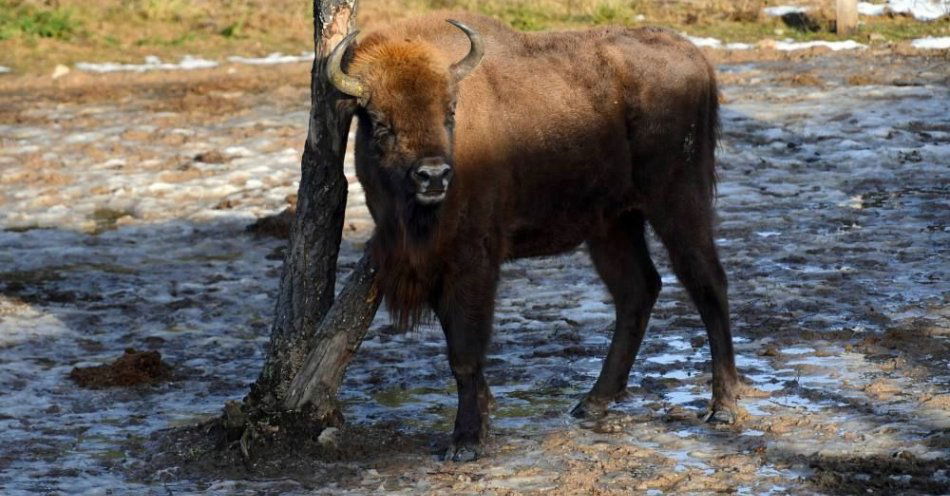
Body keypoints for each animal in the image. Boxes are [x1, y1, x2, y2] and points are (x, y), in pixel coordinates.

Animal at [328, 11, 744, 462]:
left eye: (450, 111)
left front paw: (466, 440)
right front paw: (483, 418)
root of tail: (694, 56)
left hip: (677, 202)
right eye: (379, 122)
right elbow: (455, 341)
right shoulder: (439, 265)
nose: (433, 176)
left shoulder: (474, 259)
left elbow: (464, 351)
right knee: (638, 289)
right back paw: (592, 402)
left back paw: (723, 407)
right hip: (613, 223)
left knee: (707, 282)